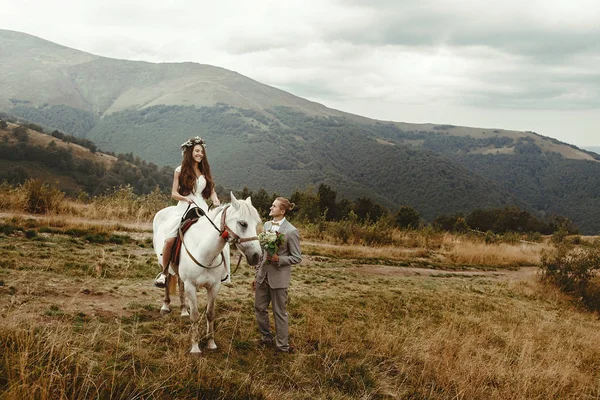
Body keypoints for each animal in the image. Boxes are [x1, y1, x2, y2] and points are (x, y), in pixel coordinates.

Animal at [151, 194, 262, 354]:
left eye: (256, 223)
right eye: (243, 223)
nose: (257, 256)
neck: (204, 251)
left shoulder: (214, 287)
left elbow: (210, 314)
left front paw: (211, 343)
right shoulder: (191, 286)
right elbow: (195, 315)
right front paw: (195, 347)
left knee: (179, 284)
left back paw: (183, 310)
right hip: (163, 264)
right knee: (166, 280)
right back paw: (165, 306)